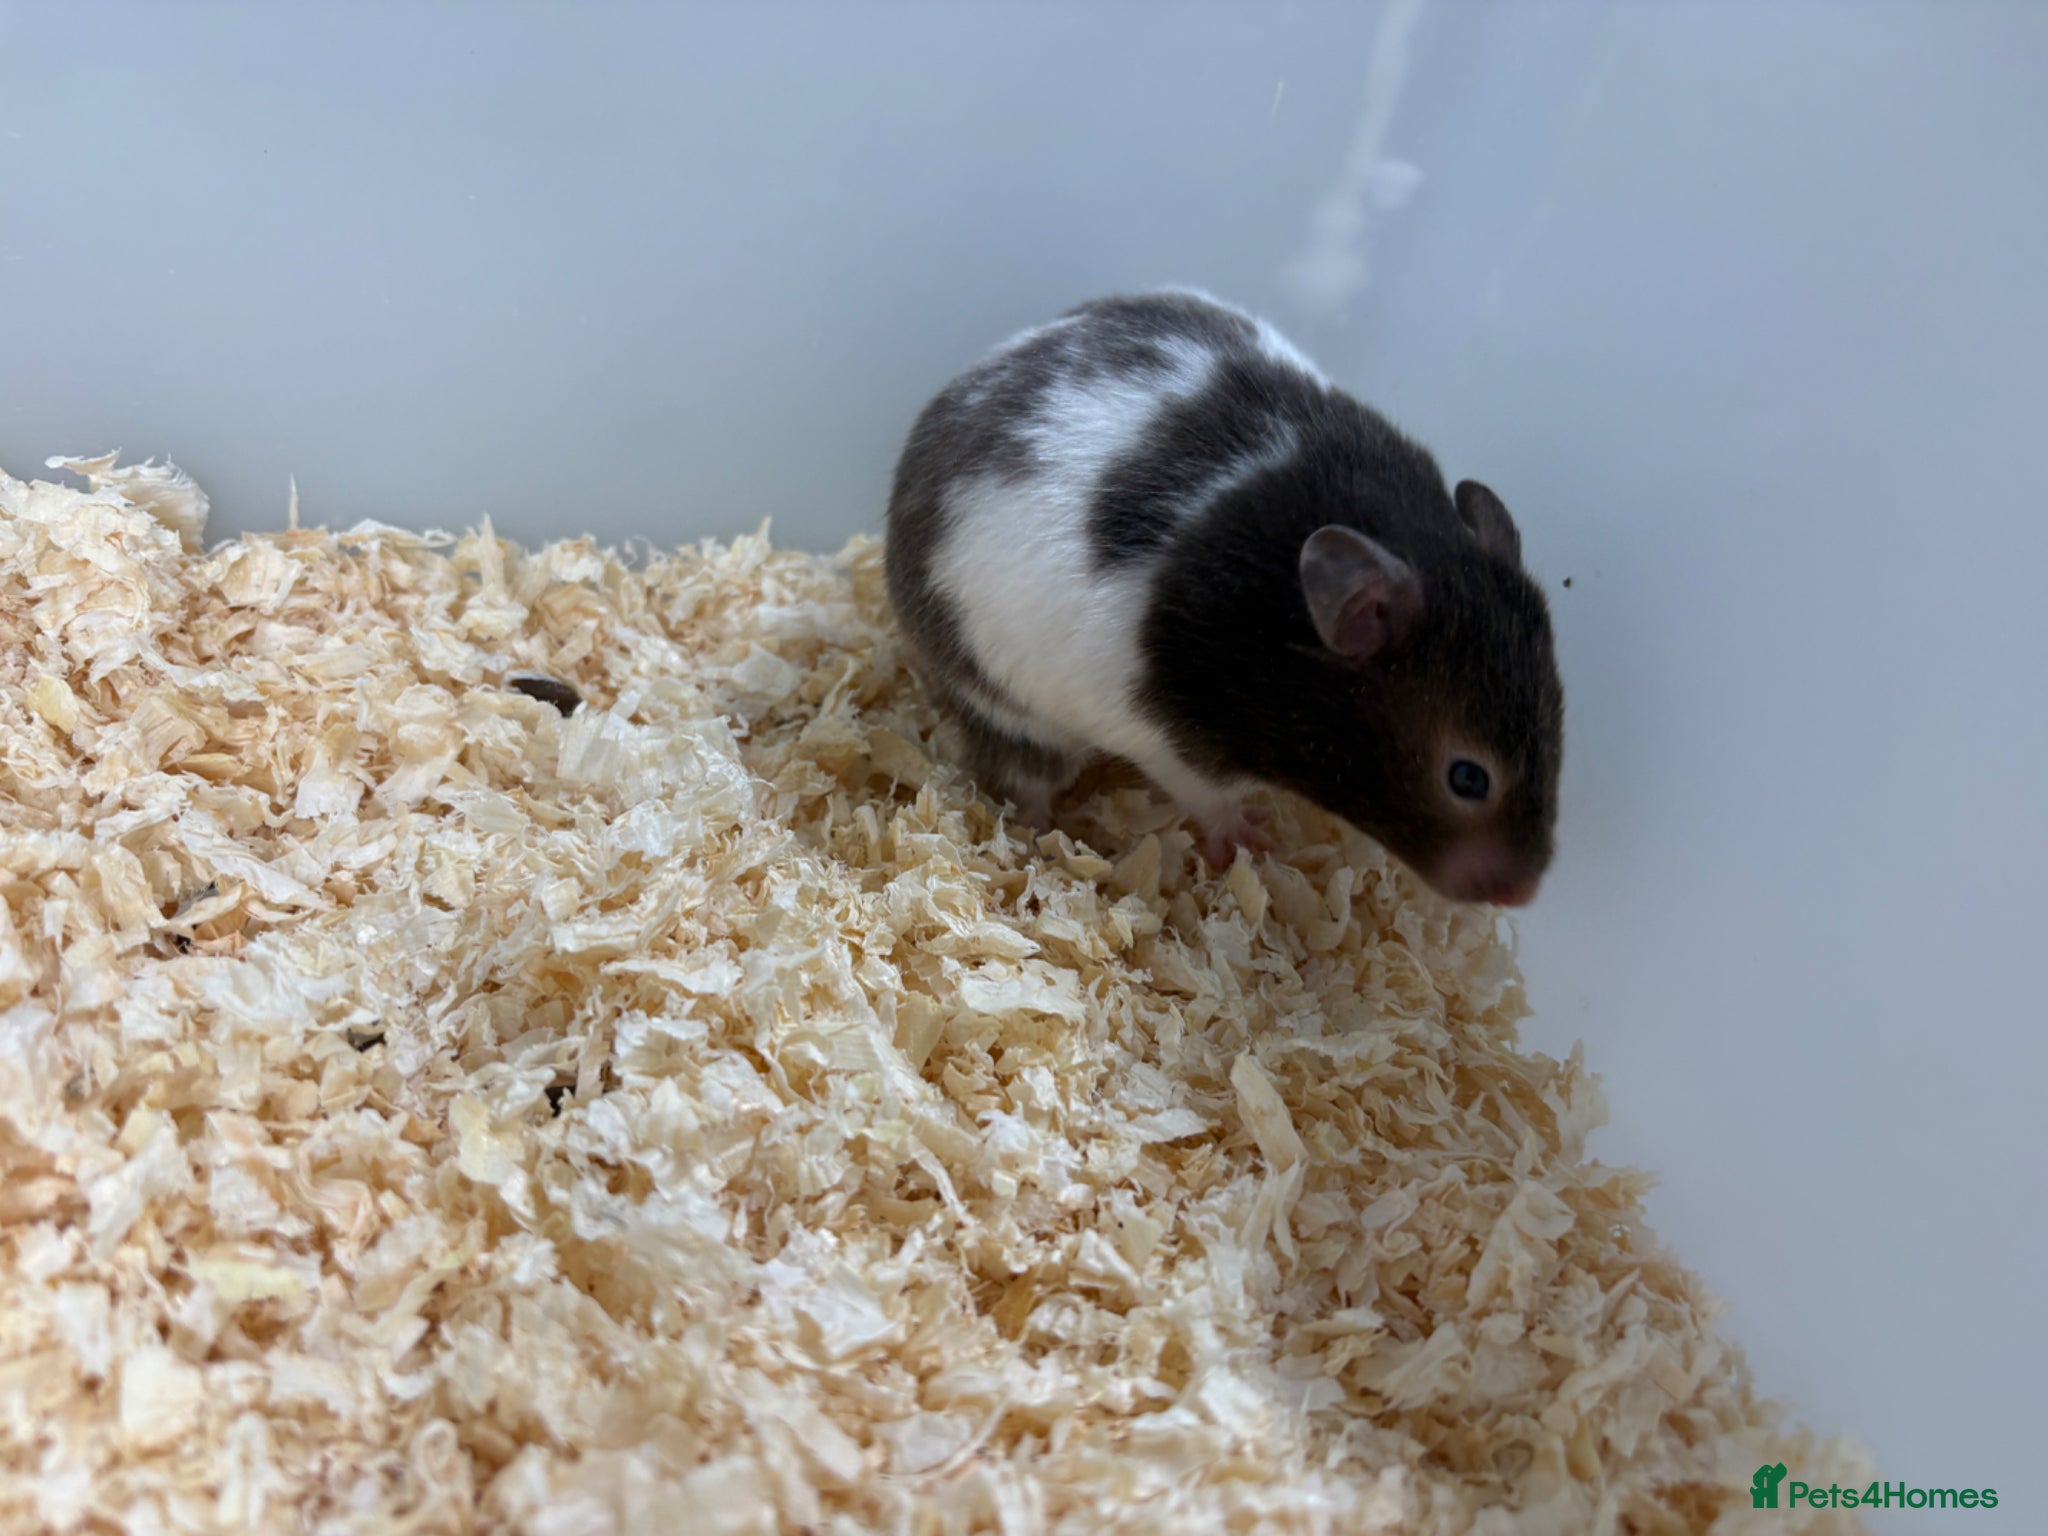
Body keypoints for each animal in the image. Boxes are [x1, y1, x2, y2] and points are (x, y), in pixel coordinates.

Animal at [883, 289, 1563, 907]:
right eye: (1468, 778)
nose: (1525, 894)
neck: (1280, 621)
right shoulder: (1173, 737)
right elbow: (1206, 796)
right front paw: (1251, 842)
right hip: (1008, 705)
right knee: (1022, 778)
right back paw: (1035, 838)